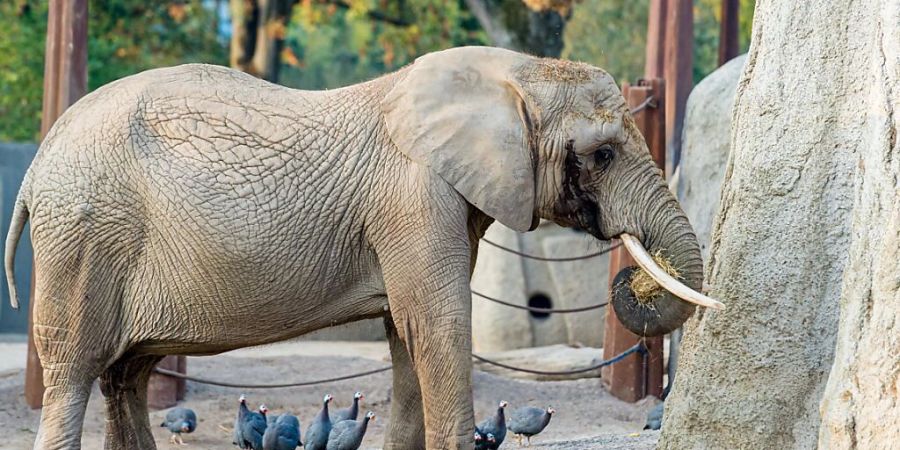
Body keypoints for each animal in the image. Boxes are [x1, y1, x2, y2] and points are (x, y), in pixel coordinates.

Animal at [0, 44, 716, 448]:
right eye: (602, 155)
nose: (634, 279)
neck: (506, 73)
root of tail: (35, 168)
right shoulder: (414, 198)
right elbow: (438, 324)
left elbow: (408, 335)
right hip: (84, 237)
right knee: (73, 374)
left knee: (126, 376)